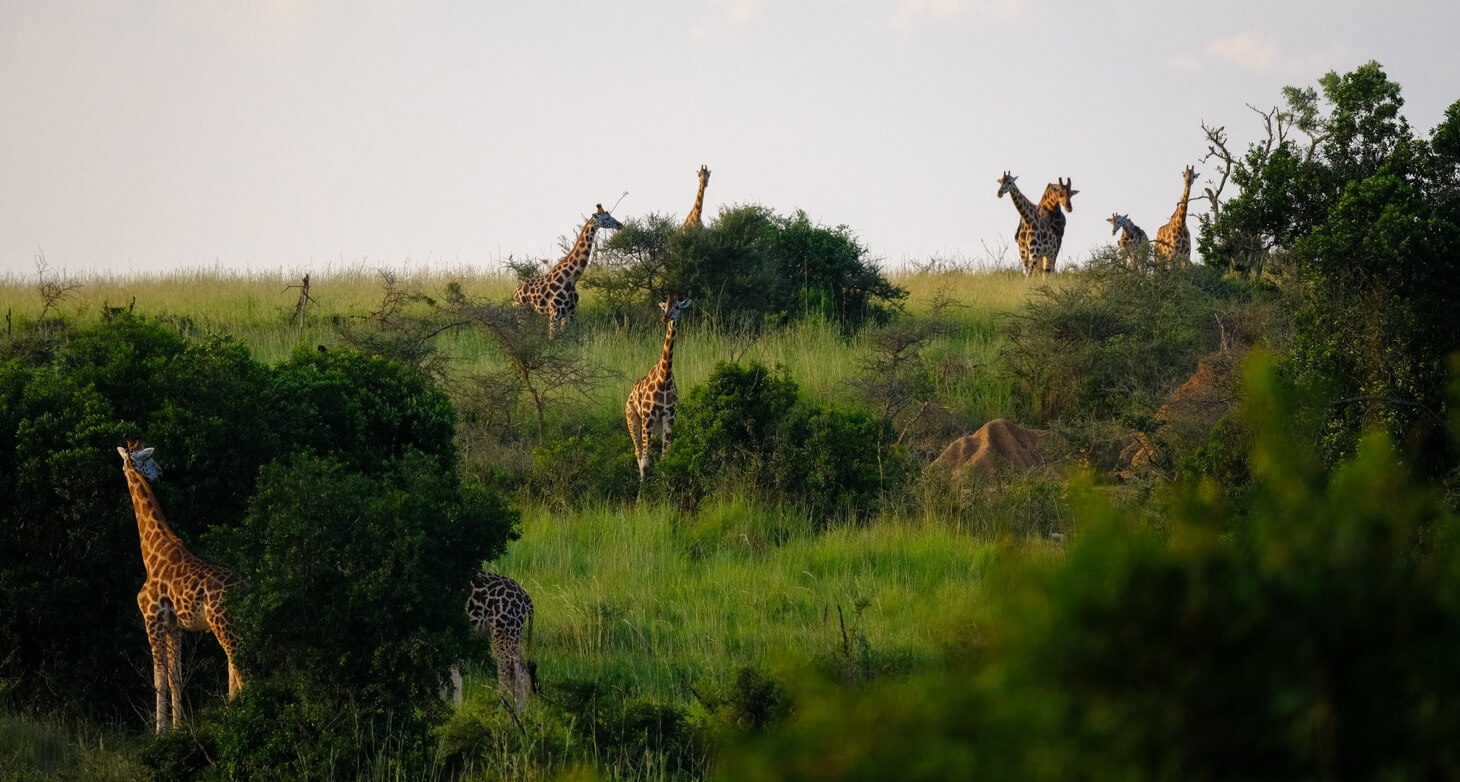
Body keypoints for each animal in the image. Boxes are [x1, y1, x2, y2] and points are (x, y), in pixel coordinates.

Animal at [116, 440, 245, 732]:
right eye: (148, 460)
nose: (161, 473)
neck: (151, 551)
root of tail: (248, 588)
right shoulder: (175, 626)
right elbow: (175, 678)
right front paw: (178, 729)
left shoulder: (152, 620)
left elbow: (159, 680)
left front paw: (160, 732)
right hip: (234, 625)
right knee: (237, 668)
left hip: (223, 624)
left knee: (241, 668)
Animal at [455, 571, 537, 711]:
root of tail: (525, 596)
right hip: (513, 635)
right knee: (521, 675)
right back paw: (518, 712)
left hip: (503, 633)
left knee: (506, 676)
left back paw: (501, 711)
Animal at [513, 202, 621, 337]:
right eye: (607, 218)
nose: (620, 225)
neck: (571, 278)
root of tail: (515, 290)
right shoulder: (555, 313)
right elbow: (552, 338)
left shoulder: (570, 312)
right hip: (521, 309)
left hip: (530, 311)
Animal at [624, 293, 692, 478]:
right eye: (664, 307)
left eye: (677, 307)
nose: (666, 317)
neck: (664, 379)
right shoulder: (648, 416)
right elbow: (645, 461)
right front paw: (645, 485)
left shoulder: (669, 416)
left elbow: (664, 458)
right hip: (633, 420)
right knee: (638, 453)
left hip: (656, 427)